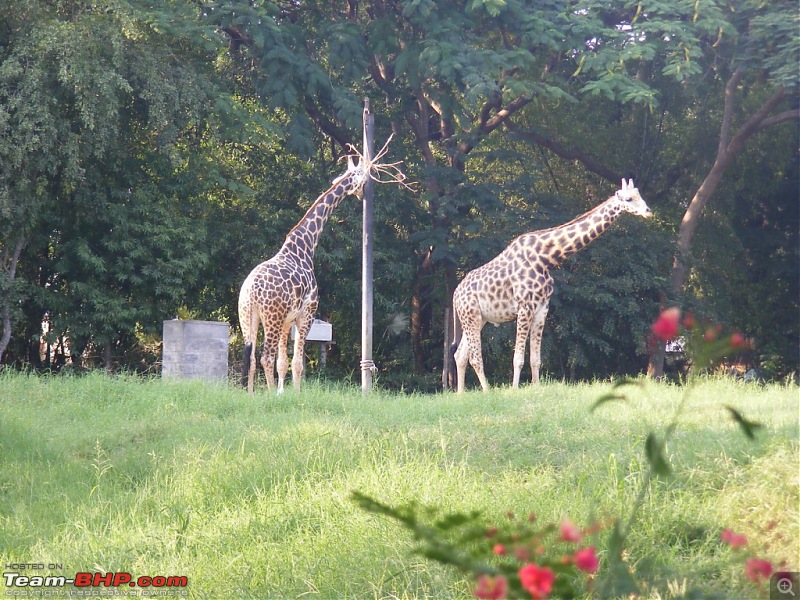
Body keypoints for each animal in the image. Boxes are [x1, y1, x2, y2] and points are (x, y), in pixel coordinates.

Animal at [454, 178, 652, 394]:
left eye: (640, 195)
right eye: (628, 199)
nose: (648, 211)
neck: (545, 258)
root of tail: (455, 295)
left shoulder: (542, 308)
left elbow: (536, 359)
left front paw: (536, 387)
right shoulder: (525, 307)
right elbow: (518, 358)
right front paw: (514, 390)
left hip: (478, 318)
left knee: (460, 354)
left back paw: (460, 394)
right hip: (471, 316)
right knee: (474, 357)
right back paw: (487, 391)